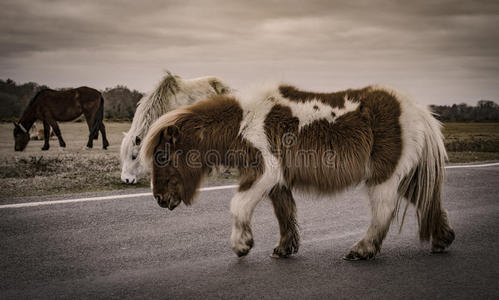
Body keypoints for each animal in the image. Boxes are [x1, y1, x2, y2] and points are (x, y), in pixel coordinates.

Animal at [141, 83, 458, 258]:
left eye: (161, 155)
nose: (160, 199)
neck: (245, 123)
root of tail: (419, 111)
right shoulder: (278, 181)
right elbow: (285, 213)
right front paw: (284, 248)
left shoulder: (265, 171)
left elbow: (238, 204)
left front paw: (242, 245)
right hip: (406, 177)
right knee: (428, 202)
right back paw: (442, 240)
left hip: (385, 176)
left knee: (383, 211)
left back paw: (361, 251)